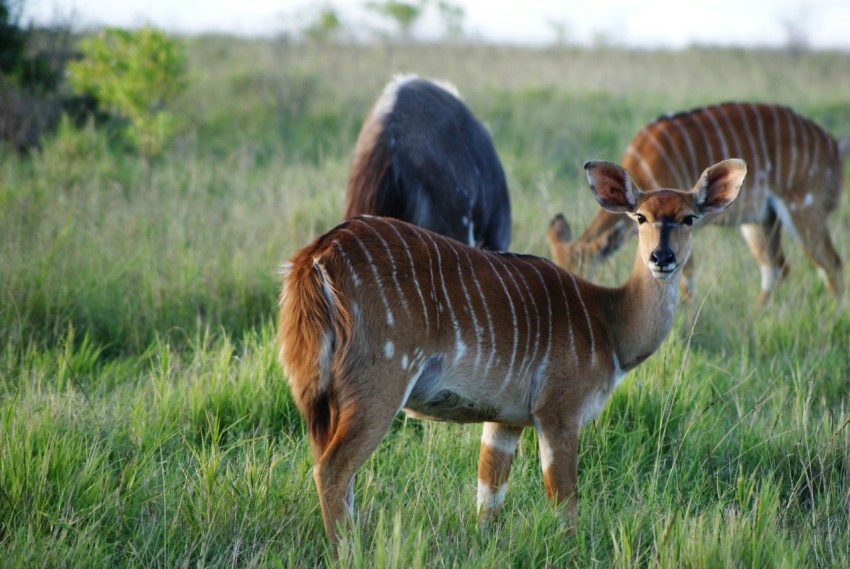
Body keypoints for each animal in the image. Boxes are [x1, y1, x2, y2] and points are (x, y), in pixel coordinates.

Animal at [276, 158, 744, 540]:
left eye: (688, 217)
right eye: (641, 216)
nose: (661, 258)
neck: (608, 324)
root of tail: (315, 257)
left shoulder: (504, 419)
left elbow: (488, 498)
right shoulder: (558, 411)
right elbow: (565, 503)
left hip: (321, 396)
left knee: (332, 468)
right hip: (381, 382)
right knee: (333, 470)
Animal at [548, 101, 844, 302]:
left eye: (579, 276)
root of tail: (835, 144)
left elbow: (686, 283)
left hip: (804, 211)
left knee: (832, 265)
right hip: (761, 221)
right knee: (777, 268)